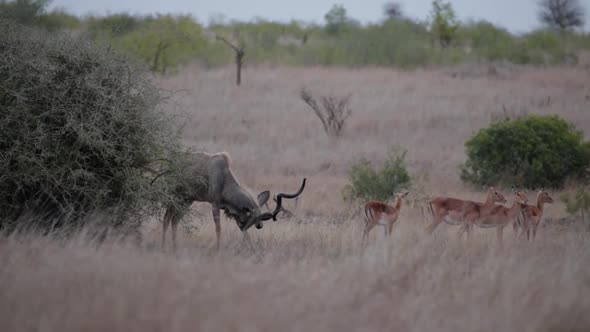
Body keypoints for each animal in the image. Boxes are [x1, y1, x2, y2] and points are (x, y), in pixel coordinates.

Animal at [163, 152, 308, 250]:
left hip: (187, 200)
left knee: (174, 219)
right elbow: (218, 228)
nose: (260, 226)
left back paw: (174, 247)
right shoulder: (215, 205)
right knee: (167, 217)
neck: (224, 177)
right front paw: (218, 248)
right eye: (250, 220)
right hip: (176, 196)